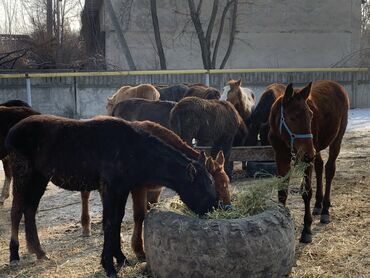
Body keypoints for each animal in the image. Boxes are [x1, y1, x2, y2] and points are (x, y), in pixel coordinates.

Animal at [5, 114, 217, 276]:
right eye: (204, 187)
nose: (216, 208)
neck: (133, 149)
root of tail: (12, 131)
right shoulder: (110, 187)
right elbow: (109, 222)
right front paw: (109, 266)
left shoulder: (122, 189)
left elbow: (117, 220)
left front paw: (120, 258)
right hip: (23, 173)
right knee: (16, 211)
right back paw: (14, 255)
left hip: (39, 177)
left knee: (30, 210)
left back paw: (39, 252)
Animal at [268, 80, 348, 243]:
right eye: (292, 117)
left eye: (310, 115)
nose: (308, 154)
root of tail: (337, 85)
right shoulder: (281, 156)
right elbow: (282, 191)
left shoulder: (306, 159)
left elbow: (306, 192)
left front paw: (307, 229)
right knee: (320, 166)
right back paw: (318, 204)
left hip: (334, 141)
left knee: (329, 169)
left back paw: (325, 210)